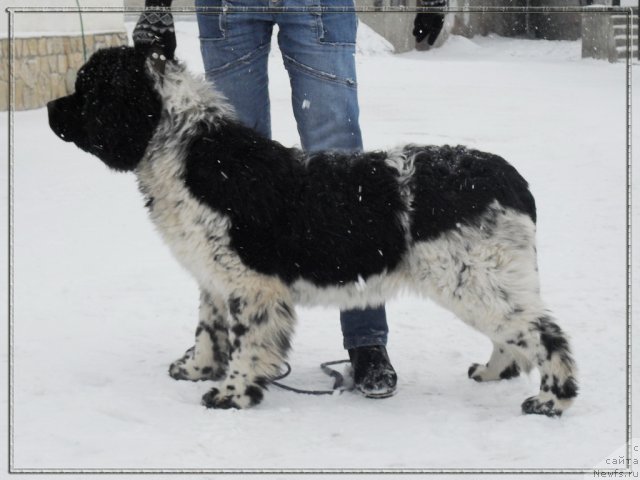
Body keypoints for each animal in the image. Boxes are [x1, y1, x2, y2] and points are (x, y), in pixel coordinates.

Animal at [50, 47, 576, 418]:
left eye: (86, 90)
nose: (52, 107)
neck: (189, 153)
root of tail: (509, 177)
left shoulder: (252, 285)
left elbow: (246, 343)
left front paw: (232, 394)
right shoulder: (213, 278)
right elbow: (209, 329)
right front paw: (197, 369)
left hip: (477, 278)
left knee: (546, 335)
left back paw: (552, 401)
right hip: (486, 281)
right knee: (518, 335)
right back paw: (491, 372)